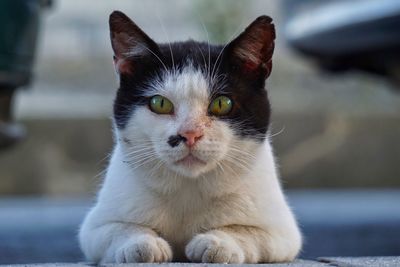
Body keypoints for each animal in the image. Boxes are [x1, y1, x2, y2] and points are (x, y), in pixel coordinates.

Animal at [79, 9, 302, 264]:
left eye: (222, 104)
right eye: (160, 103)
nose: (190, 133)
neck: (189, 188)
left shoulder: (282, 232)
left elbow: (246, 231)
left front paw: (217, 243)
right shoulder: (95, 227)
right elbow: (120, 228)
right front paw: (142, 243)